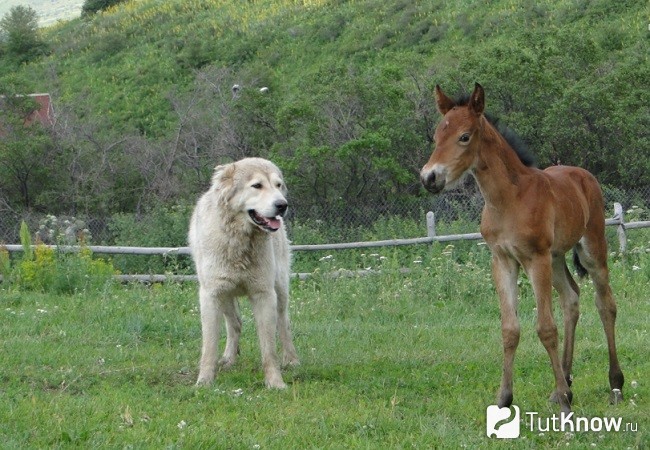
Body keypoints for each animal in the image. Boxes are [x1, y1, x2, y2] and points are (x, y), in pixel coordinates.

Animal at [187, 157, 298, 386]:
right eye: (257, 185)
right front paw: (204, 382)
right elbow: (209, 346)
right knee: (235, 324)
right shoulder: (211, 295)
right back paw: (229, 359)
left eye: (278, 185)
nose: (282, 205)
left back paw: (291, 360)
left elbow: (269, 349)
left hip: (280, 290)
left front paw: (275, 383)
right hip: (226, 297)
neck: (239, 240)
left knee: (284, 323)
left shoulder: (264, 294)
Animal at [420, 82, 624, 414]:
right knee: (571, 298)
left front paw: (565, 404)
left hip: (590, 248)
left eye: (464, 136)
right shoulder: (502, 260)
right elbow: (510, 329)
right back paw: (563, 383)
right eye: (437, 137)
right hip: (556, 257)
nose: (429, 177)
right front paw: (505, 398)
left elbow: (546, 328)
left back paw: (614, 385)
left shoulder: (534, 258)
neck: (509, 200)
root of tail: (584, 175)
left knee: (605, 304)